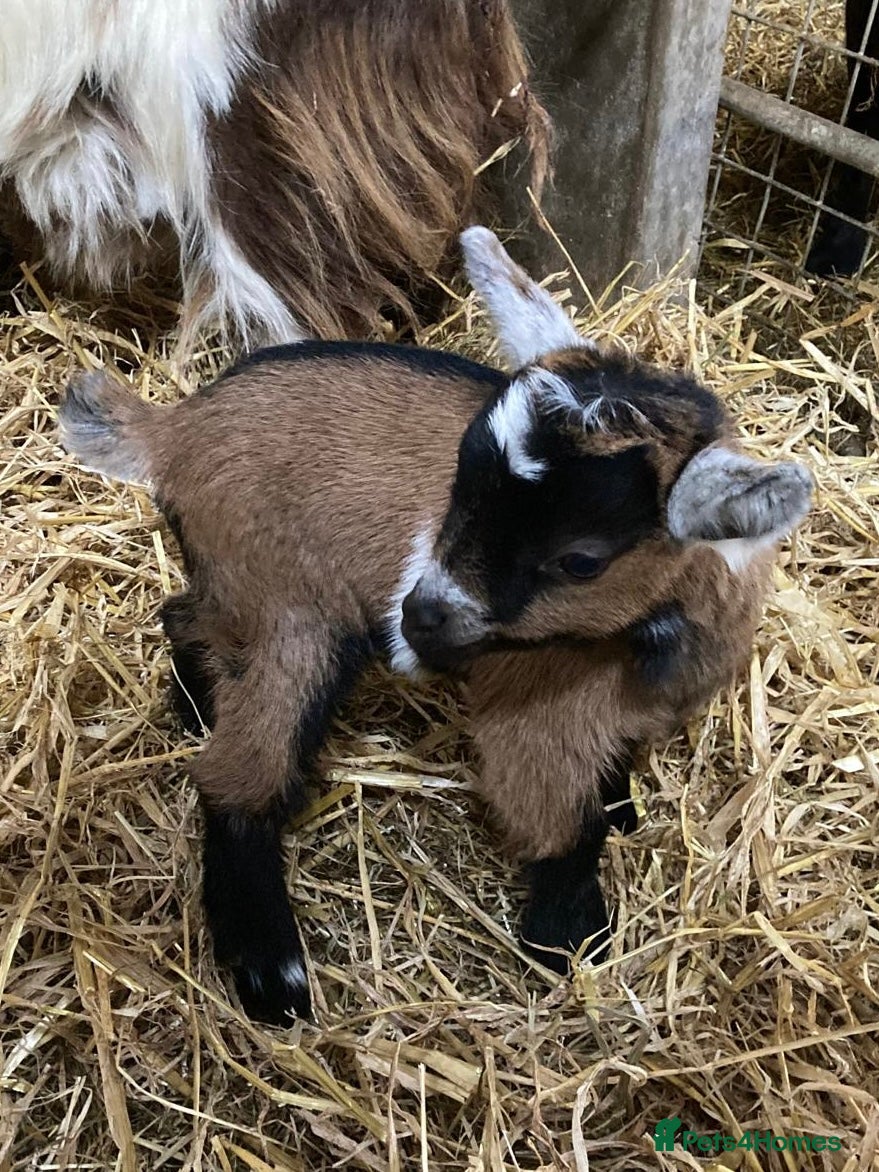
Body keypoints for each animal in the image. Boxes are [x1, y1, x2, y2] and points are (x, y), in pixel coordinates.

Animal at [58, 227, 812, 1023]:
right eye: (459, 484)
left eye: (579, 560)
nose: (416, 618)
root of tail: (172, 430)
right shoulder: (537, 714)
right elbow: (560, 822)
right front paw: (569, 941)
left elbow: (611, 778)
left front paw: (622, 811)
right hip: (292, 612)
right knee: (237, 773)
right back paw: (272, 975)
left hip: (236, 584)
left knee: (184, 616)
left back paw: (197, 704)